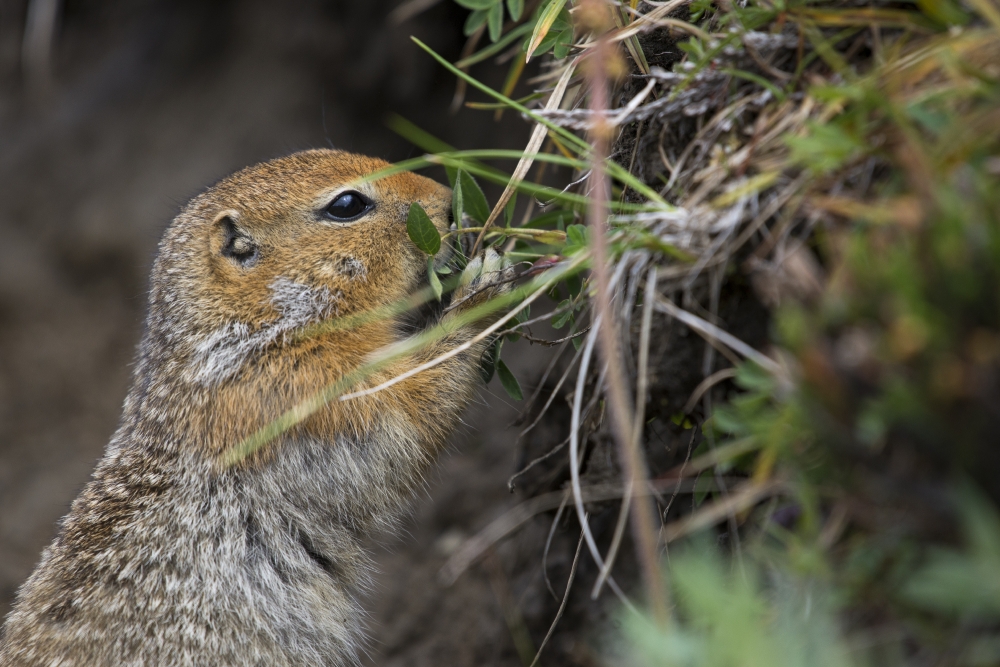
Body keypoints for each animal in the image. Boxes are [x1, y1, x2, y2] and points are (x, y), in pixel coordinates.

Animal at [0, 149, 512, 664]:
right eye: (347, 205)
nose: (448, 201)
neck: (255, 329)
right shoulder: (308, 393)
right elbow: (413, 408)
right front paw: (483, 288)